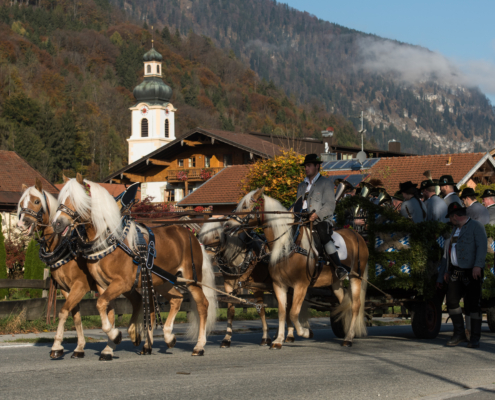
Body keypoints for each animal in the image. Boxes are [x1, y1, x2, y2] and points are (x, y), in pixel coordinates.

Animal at [16, 180, 142, 358]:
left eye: (36, 201)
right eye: (21, 204)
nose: (22, 223)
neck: (63, 244)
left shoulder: (80, 286)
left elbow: (63, 312)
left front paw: (56, 346)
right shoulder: (66, 289)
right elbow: (75, 316)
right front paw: (79, 347)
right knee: (134, 302)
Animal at [51, 174, 218, 356]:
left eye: (76, 199)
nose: (57, 223)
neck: (110, 240)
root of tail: (192, 236)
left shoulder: (122, 283)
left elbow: (101, 304)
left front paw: (117, 335)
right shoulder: (102, 285)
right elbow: (104, 308)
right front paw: (113, 340)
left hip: (191, 279)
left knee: (202, 305)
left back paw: (199, 345)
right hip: (163, 281)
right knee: (176, 299)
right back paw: (168, 337)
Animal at [199, 217, 310, 346]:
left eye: (216, 236)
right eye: (202, 235)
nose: (203, 256)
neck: (240, 261)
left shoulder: (256, 288)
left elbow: (261, 310)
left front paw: (265, 337)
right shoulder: (228, 286)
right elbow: (230, 311)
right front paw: (227, 338)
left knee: (288, 307)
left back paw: (290, 334)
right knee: (282, 305)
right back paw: (278, 334)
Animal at [225, 189, 368, 348]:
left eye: (245, 206)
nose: (227, 224)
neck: (288, 246)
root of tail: (357, 235)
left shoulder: (301, 285)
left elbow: (293, 313)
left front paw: (305, 332)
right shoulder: (279, 285)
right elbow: (282, 312)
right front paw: (278, 340)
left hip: (356, 277)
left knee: (355, 305)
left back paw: (349, 338)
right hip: (336, 282)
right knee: (344, 304)